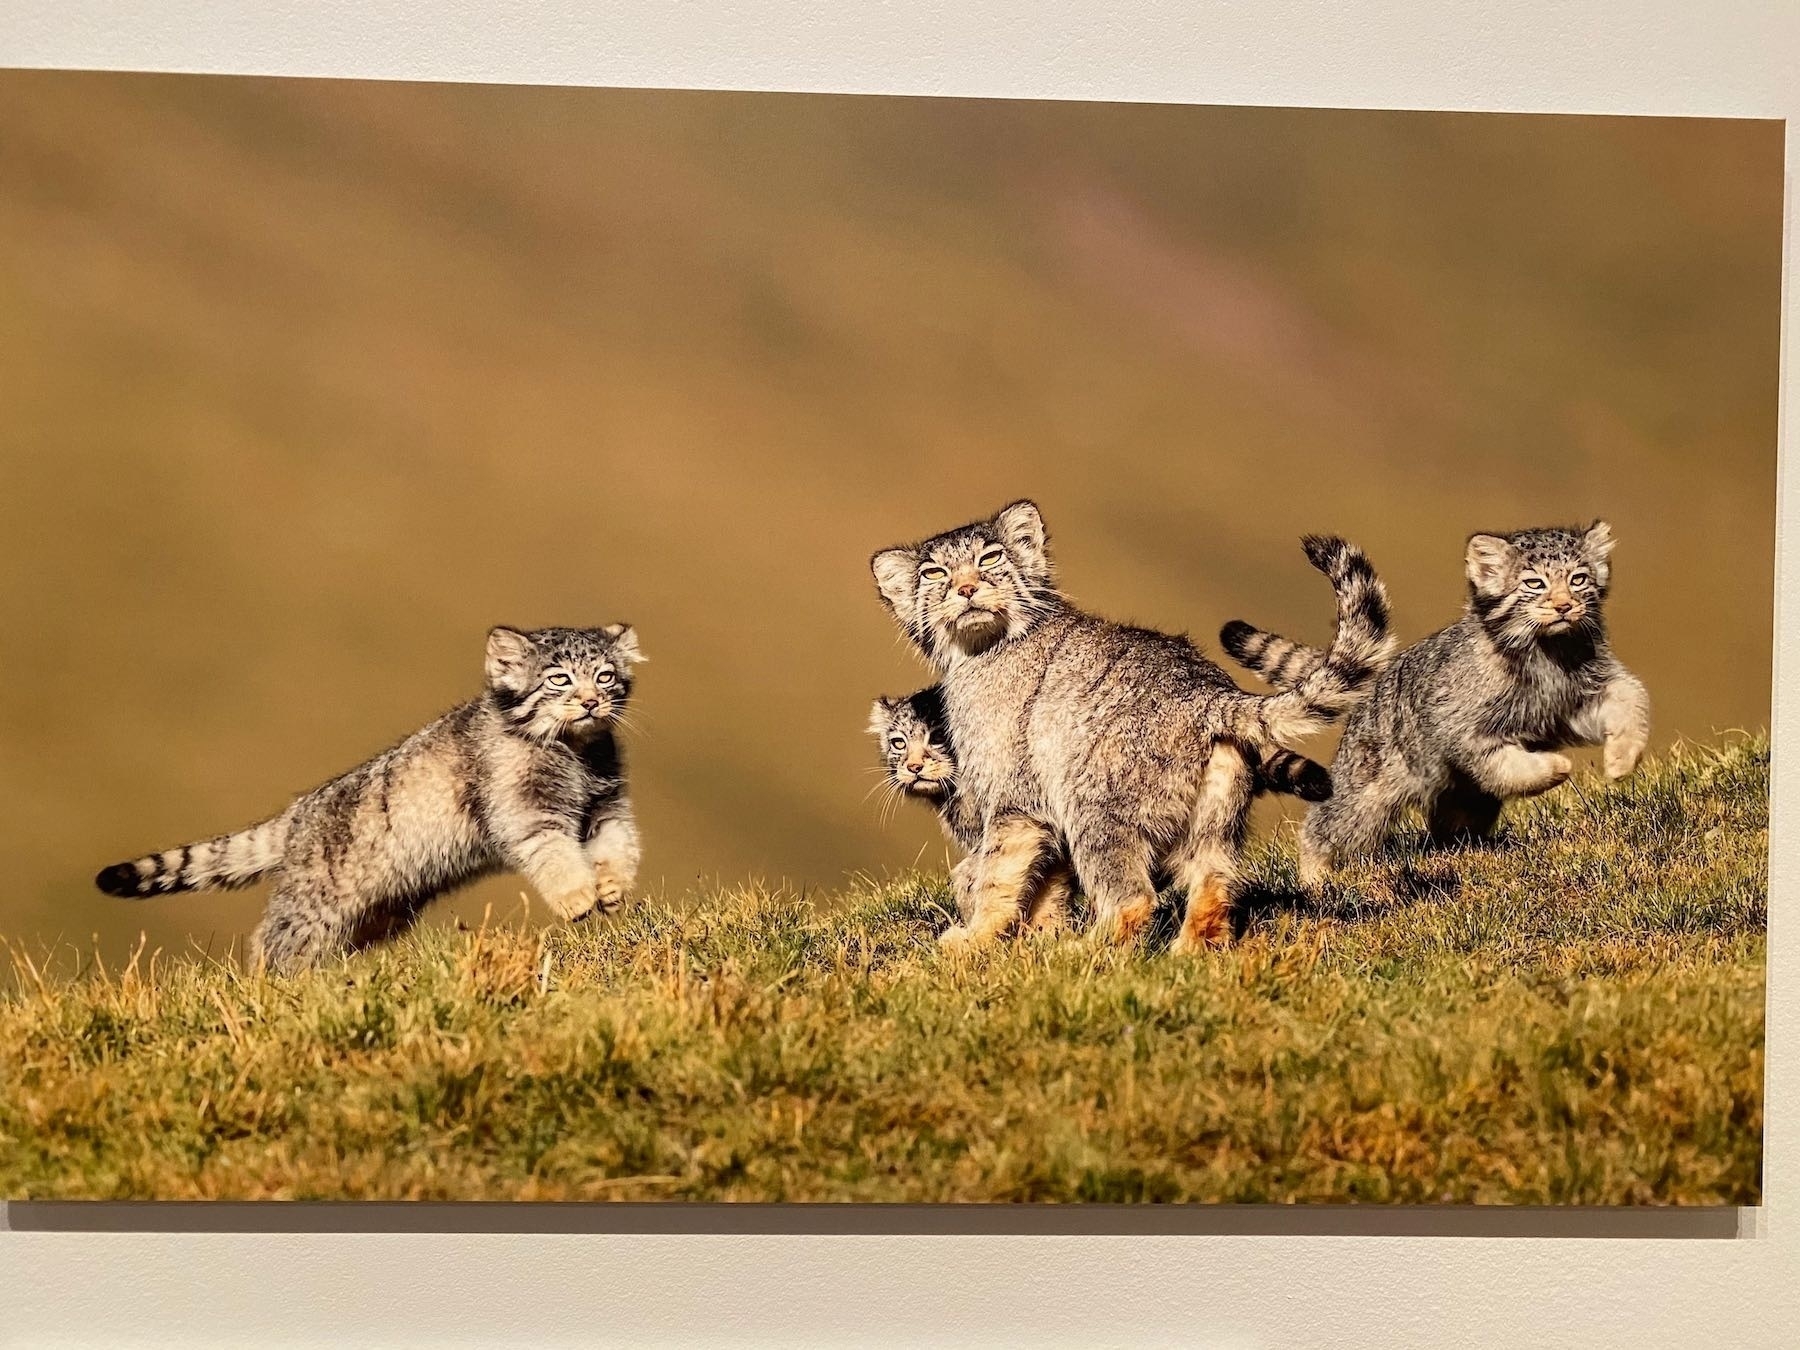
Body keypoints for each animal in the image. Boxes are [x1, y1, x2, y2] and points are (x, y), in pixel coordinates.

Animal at [96, 622, 648, 972]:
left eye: (604, 676)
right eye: (559, 678)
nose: (591, 701)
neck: (576, 753)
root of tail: (295, 815)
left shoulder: (605, 807)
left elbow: (618, 845)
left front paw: (611, 887)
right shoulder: (527, 812)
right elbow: (555, 854)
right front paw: (578, 897)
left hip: (376, 912)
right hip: (316, 904)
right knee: (272, 941)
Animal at [871, 504, 1389, 957]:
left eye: (990, 558)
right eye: (933, 574)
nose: (965, 589)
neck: (981, 652)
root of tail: (1208, 692)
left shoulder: (1015, 799)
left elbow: (994, 876)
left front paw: (973, 939)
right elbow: (1040, 883)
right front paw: (1036, 935)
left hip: (1095, 810)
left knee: (1134, 899)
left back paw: (1085, 953)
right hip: (1211, 823)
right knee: (1214, 884)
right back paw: (1186, 955)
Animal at [1224, 522, 1648, 889]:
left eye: (1578, 579)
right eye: (1534, 583)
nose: (1563, 606)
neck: (1549, 654)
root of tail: (1375, 682)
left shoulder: (1581, 699)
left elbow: (1633, 699)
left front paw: (1621, 760)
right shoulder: (1466, 733)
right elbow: (1509, 766)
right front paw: (1555, 767)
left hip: (1463, 799)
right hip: (1366, 793)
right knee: (1325, 825)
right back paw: (1315, 875)